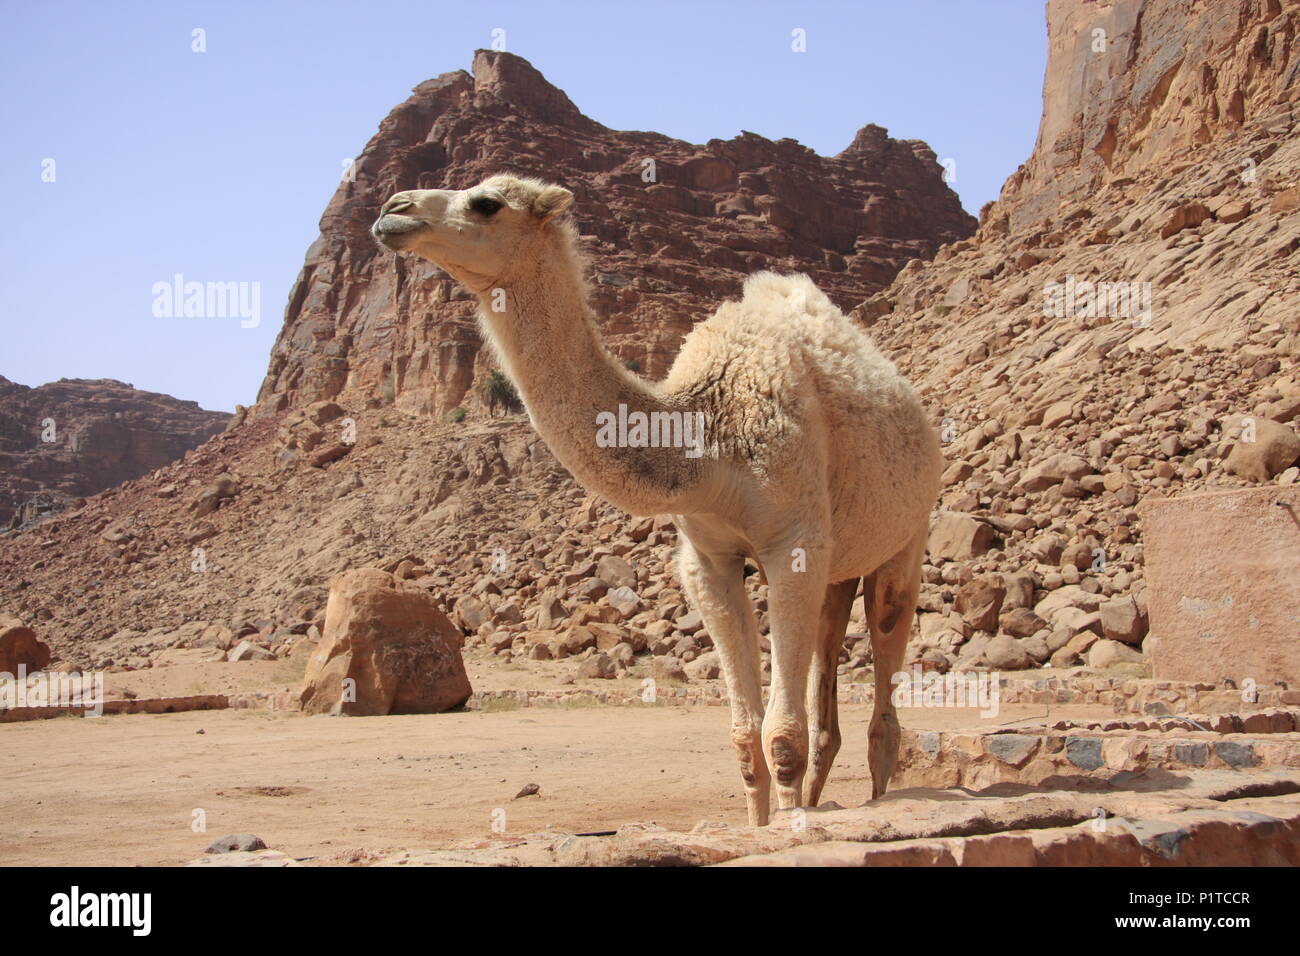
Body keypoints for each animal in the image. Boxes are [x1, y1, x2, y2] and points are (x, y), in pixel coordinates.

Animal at [371, 174, 941, 822]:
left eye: (486, 203)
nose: (393, 210)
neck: (705, 439)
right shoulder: (709, 558)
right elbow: (746, 741)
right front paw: (763, 825)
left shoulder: (792, 543)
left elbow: (781, 738)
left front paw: (788, 827)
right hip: (838, 558)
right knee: (829, 682)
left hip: (907, 534)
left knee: (885, 675)